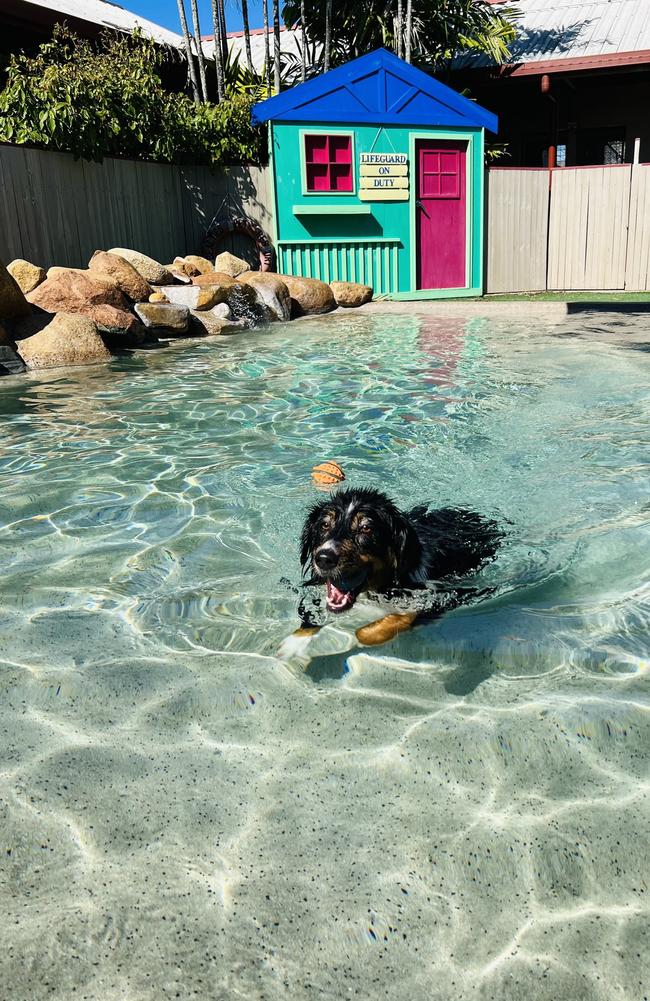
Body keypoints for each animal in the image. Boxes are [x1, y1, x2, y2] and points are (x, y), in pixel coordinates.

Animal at [284, 484, 502, 656]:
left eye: (366, 528)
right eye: (324, 525)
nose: (324, 558)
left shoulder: (443, 596)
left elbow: (374, 629)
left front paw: (353, 637)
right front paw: (294, 643)